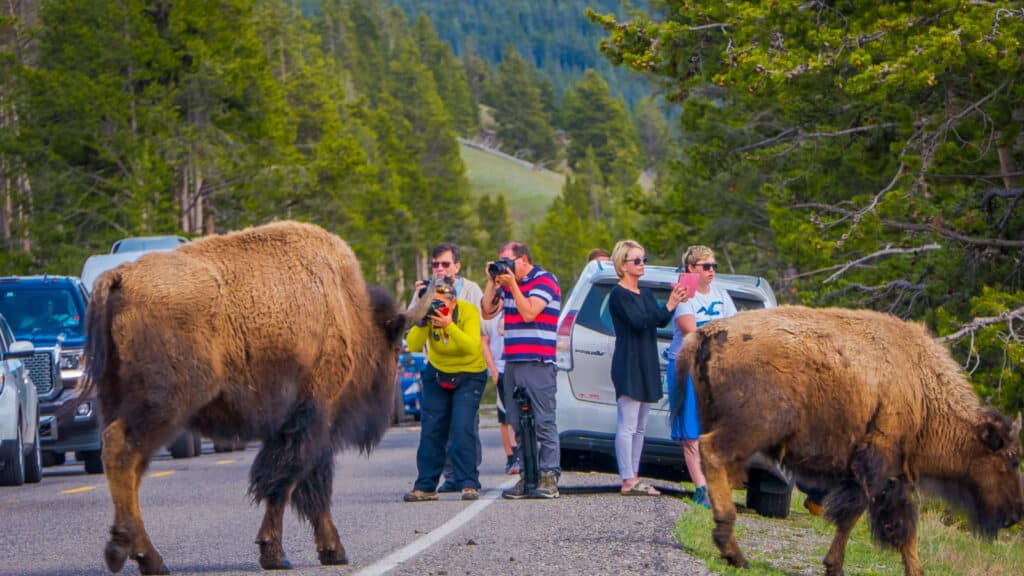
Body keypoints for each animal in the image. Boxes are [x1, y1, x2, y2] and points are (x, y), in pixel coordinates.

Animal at [81, 218, 430, 569]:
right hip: (161, 407)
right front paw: (283, 553)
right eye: (394, 347)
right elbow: (290, 481)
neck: (347, 310)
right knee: (123, 453)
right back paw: (138, 555)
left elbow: (301, 482)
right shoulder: (313, 418)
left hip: (118, 402)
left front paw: (327, 551)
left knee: (129, 469)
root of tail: (119, 277)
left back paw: (137, 554)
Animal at [679, 305, 1024, 573]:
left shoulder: (880, 474)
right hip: (751, 429)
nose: (1014, 515)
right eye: (1010, 459)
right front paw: (840, 566)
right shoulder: (879, 468)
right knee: (712, 452)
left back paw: (731, 548)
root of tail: (709, 332)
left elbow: (884, 525)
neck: (924, 394)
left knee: (721, 467)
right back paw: (733, 550)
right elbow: (875, 522)